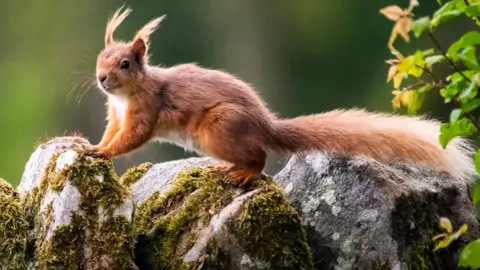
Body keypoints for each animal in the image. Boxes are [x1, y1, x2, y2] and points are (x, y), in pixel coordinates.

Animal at [87, 7, 476, 186]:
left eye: (125, 63)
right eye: (99, 58)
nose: (102, 79)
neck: (125, 95)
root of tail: (266, 127)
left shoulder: (146, 110)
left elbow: (132, 138)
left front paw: (101, 152)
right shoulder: (115, 113)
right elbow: (111, 132)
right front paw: (91, 144)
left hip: (220, 128)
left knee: (259, 158)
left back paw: (243, 173)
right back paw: (225, 168)